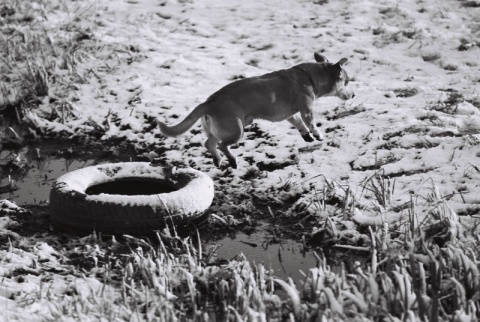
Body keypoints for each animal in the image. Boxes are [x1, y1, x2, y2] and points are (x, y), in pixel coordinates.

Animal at [158, 52, 352, 169]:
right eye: (347, 82)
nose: (354, 94)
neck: (309, 76)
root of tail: (209, 102)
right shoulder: (306, 109)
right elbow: (310, 123)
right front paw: (317, 135)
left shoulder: (290, 114)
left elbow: (298, 123)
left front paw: (306, 136)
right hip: (236, 130)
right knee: (222, 145)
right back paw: (232, 161)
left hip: (219, 131)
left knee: (209, 144)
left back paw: (218, 160)